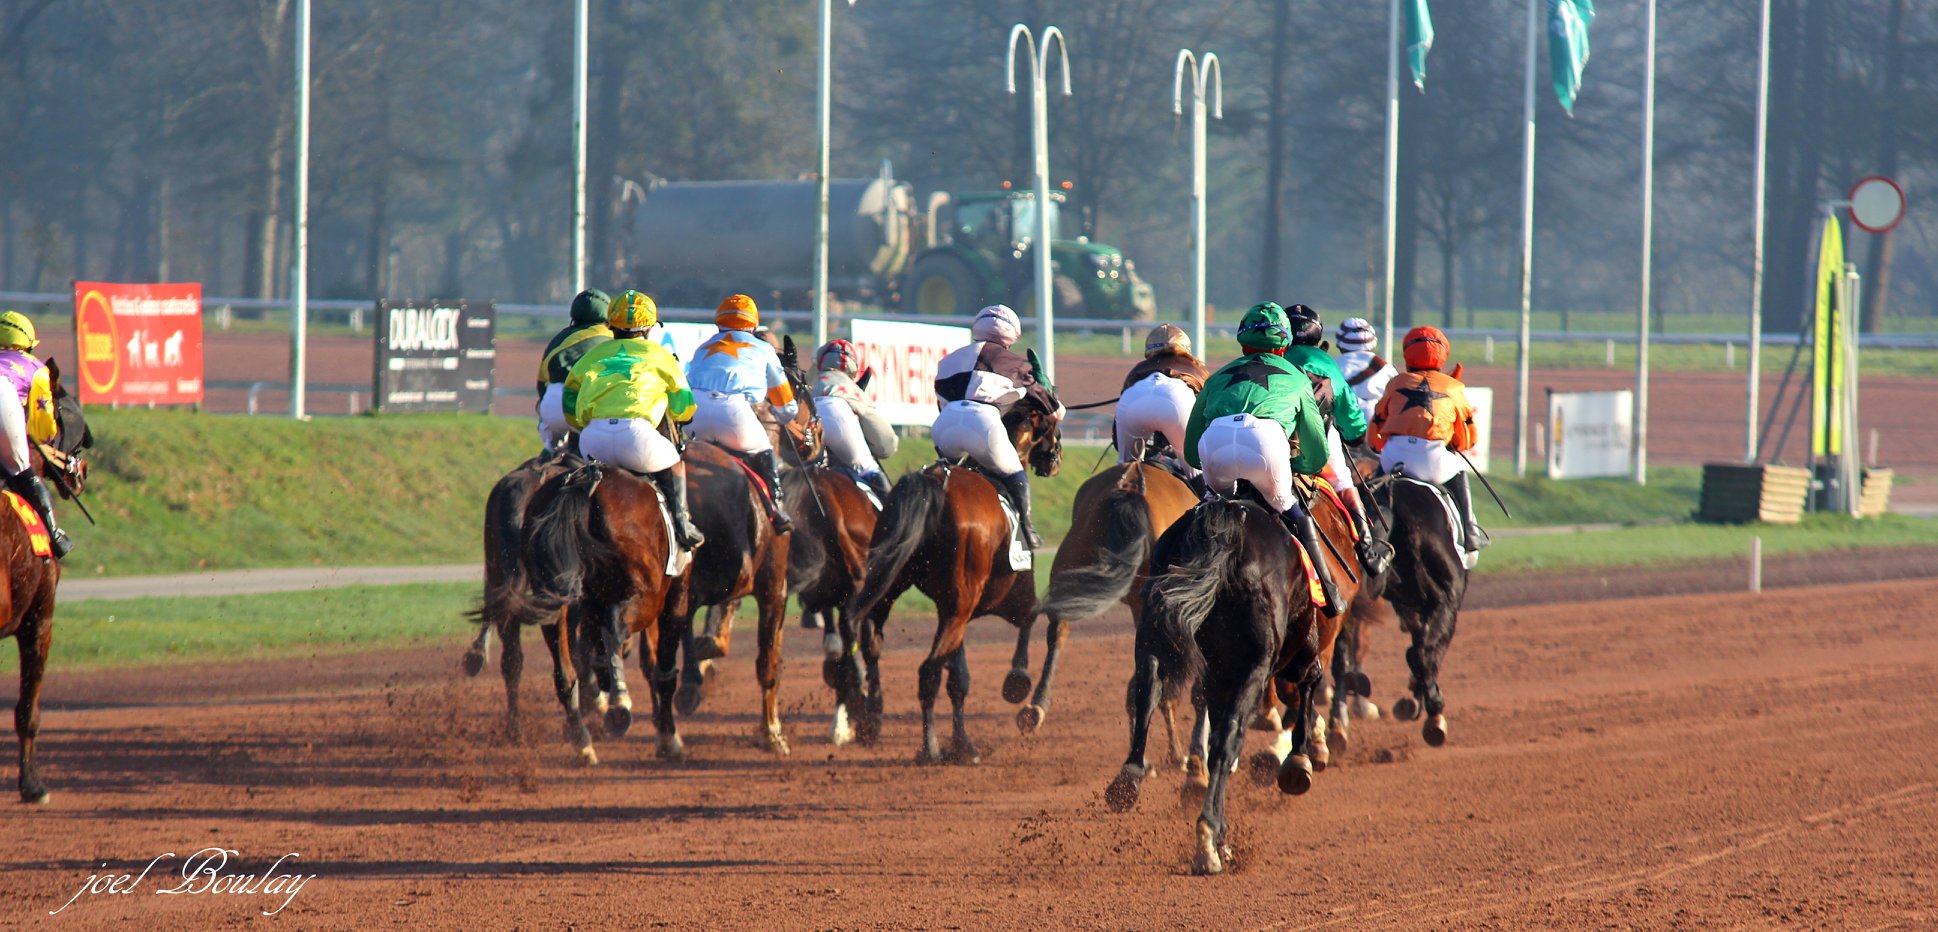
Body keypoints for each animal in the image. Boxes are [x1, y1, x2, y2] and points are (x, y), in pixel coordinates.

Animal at [841, 403, 1069, 759]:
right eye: (1052, 426)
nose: (1057, 458)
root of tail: (935, 482)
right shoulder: (1010, 597)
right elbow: (1031, 616)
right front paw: (1017, 681)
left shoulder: (953, 609)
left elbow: (958, 677)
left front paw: (962, 743)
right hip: (958, 606)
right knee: (928, 671)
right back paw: (928, 748)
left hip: (890, 585)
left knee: (873, 646)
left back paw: (871, 719)